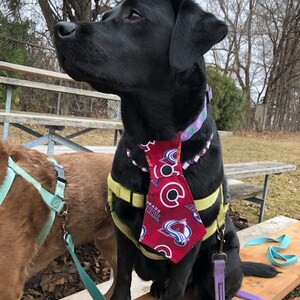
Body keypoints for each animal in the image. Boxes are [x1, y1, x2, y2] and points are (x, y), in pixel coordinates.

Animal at [54, 1, 276, 298]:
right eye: (105, 15)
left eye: (135, 14)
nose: (60, 28)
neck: (158, 145)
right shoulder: (122, 230)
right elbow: (122, 278)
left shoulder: (191, 240)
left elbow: (177, 287)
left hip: (220, 260)